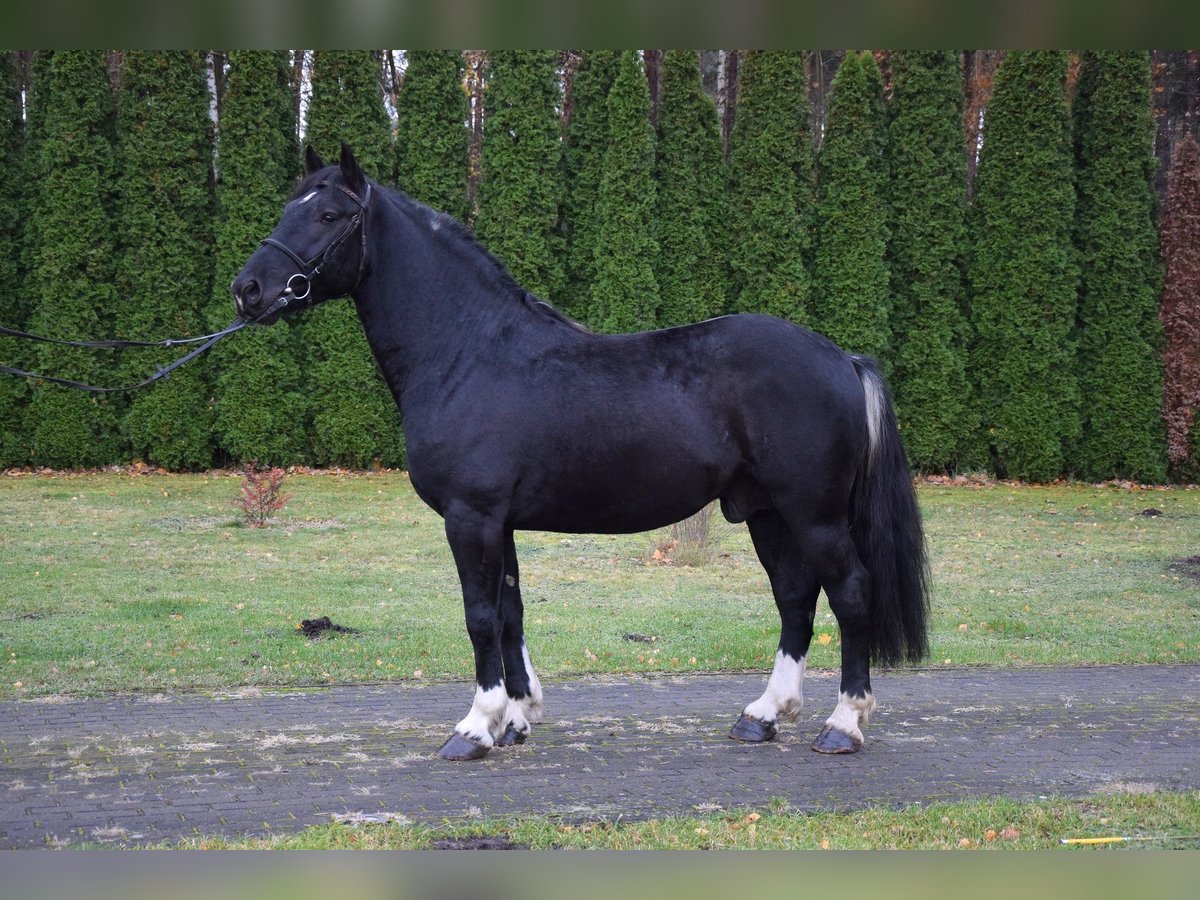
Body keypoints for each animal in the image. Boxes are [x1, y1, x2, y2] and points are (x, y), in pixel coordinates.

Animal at [232, 143, 930, 761]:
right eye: (289, 206)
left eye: (328, 215)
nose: (249, 290)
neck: (467, 352)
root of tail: (841, 357)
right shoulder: (499, 523)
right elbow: (510, 614)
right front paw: (516, 719)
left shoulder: (471, 518)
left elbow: (480, 616)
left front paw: (475, 728)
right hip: (766, 511)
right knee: (794, 597)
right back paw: (762, 716)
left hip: (814, 513)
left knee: (849, 592)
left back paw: (843, 725)